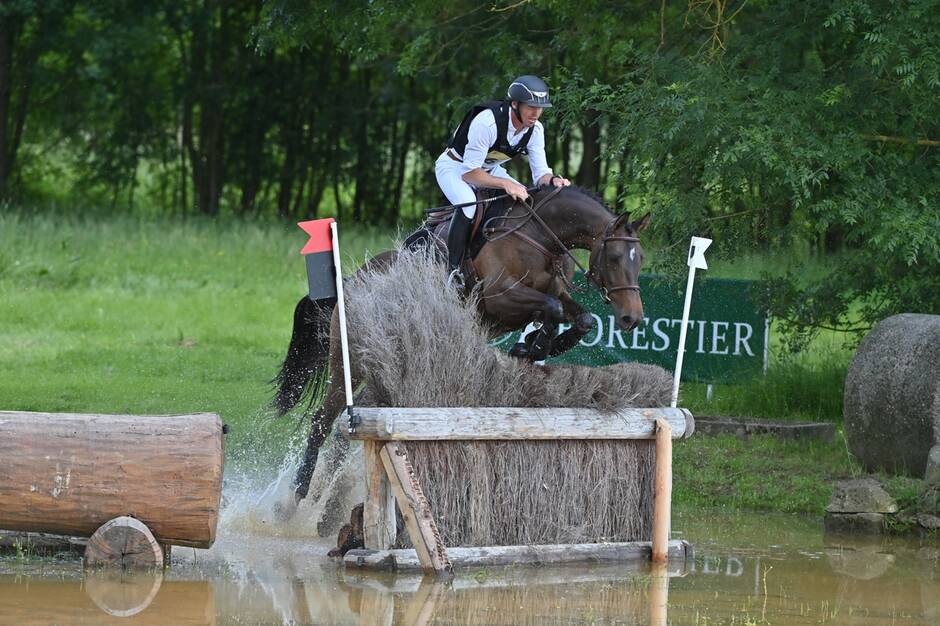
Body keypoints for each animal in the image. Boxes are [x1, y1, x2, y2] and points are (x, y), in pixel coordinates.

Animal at [266, 184, 648, 516]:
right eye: (615, 257)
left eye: (640, 258)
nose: (632, 318)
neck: (542, 239)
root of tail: (352, 279)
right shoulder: (501, 297)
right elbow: (551, 310)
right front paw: (532, 344)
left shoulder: (553, 293)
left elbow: (580, 318)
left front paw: (536, 345)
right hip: (348, 360)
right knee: (322, 420)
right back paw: (294, 500)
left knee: (349, 424)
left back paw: (323, 497)